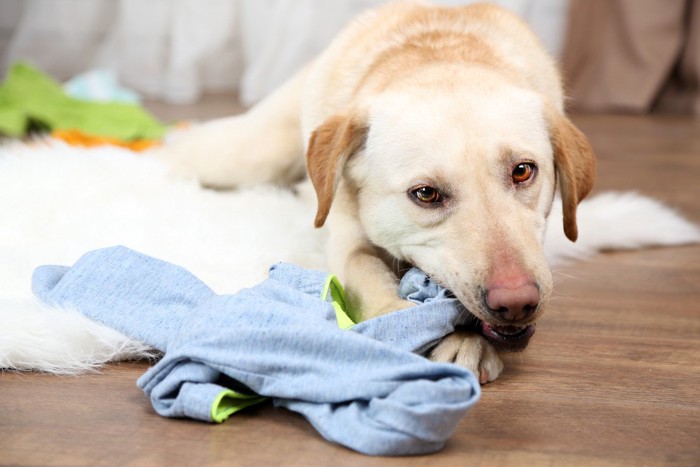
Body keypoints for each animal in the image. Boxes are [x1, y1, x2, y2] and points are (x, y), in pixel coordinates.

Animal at [160, 2, 596, 384]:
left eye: (522, 171)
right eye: (425, 194)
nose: (517, 302)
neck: (436, 56)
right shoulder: (347, 243)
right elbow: (371, 283)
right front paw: (420, 330)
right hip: (248, 155)